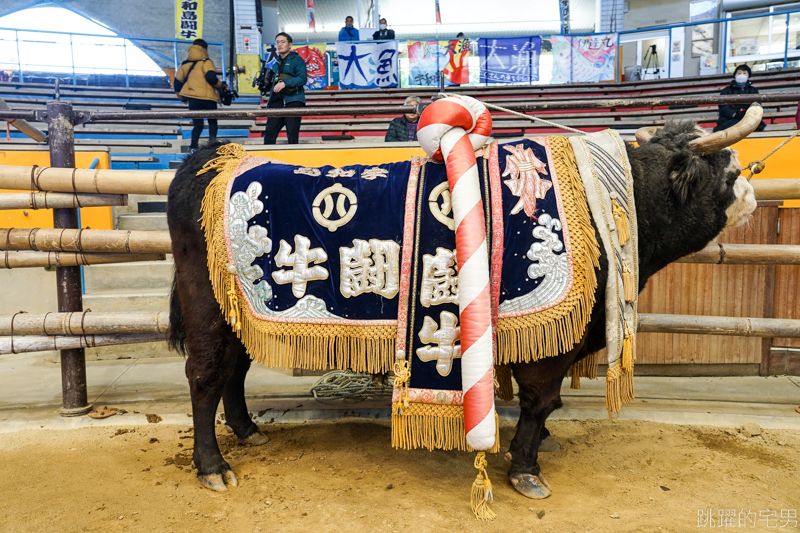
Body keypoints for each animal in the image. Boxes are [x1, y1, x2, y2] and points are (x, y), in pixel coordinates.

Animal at [164, 119, 756, 498]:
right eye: (725, 174)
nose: (750, 191)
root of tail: (211, 158)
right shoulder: (548, 348)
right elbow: (541, 400)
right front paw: (526, 468)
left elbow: (545, 407)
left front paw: (538, 445)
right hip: (206, 306)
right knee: (205, 374)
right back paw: (212, 465)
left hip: (234, 310)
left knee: (234, 370)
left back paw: (247, 431)